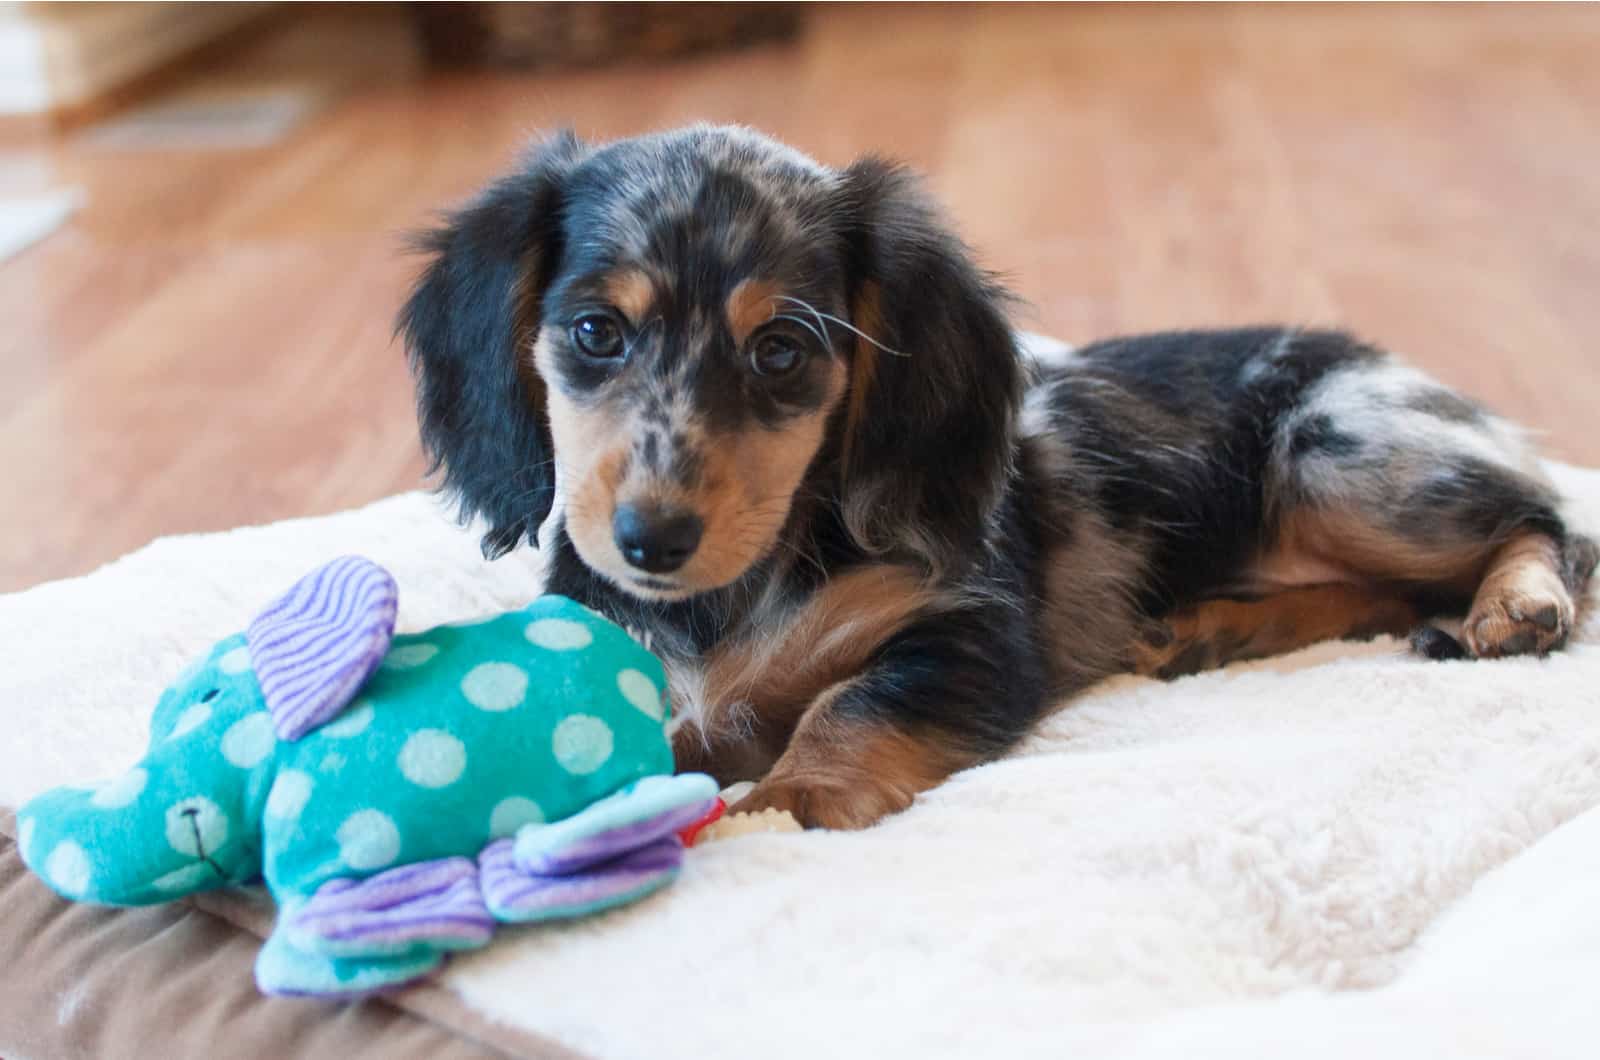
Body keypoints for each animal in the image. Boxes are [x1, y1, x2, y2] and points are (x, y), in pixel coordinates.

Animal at [396, 126, 1587, 832]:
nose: (651, 540)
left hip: (1336, 455)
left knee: (1546, 519)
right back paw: (1214, 628)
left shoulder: (968, 632)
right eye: (595, 332)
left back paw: (1519, 602)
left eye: (780, 351)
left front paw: (791, 796)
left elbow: (850, 698)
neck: (743, 586)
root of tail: (1408, 372)